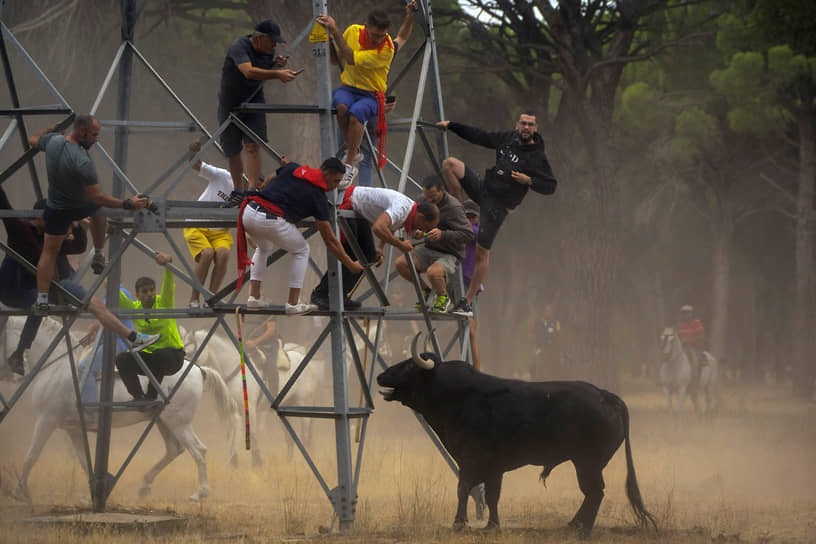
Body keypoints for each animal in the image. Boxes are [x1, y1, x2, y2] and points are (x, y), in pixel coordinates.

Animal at [4, 316, 236, 504]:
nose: (11, 374)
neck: (56, 367)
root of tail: (197, 369)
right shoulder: (73, 429)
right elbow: (83, 461)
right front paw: (94, 492)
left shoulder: (46, 420)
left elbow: (31, 456)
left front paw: (18, 492)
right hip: (163, 420)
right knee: (174, 449)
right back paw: (144, 485)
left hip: (178, 422)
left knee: (198, 450)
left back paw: (199, 493)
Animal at [376, 336, 656, 536]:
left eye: (409, 365)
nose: (381, 375)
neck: (460, 396)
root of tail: (605, 395)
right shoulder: (494, 468)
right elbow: (493, 495)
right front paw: (492, 525)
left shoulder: (470, 460)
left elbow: (463, 488)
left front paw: (459, 523)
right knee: (592, 494)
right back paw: (574, 525)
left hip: (587, 463)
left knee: (595, 492)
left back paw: (582, 528)